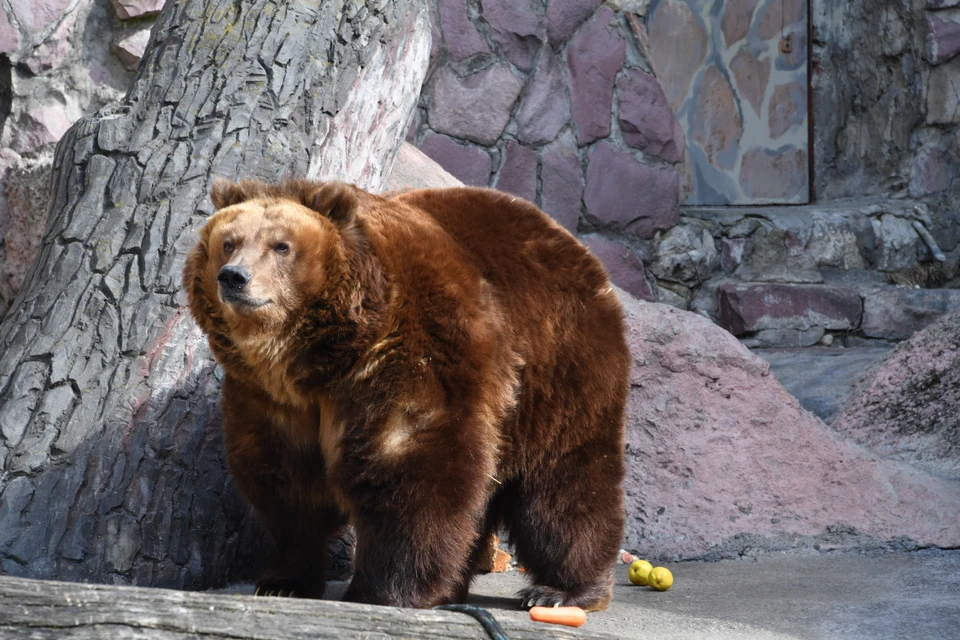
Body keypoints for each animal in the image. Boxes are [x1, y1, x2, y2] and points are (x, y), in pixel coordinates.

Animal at [184, 179, 632, 608]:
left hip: (557, 364)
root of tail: (570, 242)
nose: (234, 276)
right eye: (229, 242)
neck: (319, 358)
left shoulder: (408, 352)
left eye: (281, 246)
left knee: (561, 481)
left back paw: (562, 590)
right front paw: (283, 582)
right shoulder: (270, 398)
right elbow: (286, 485)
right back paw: (457, 588)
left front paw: (382, 592)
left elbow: (410, 468)